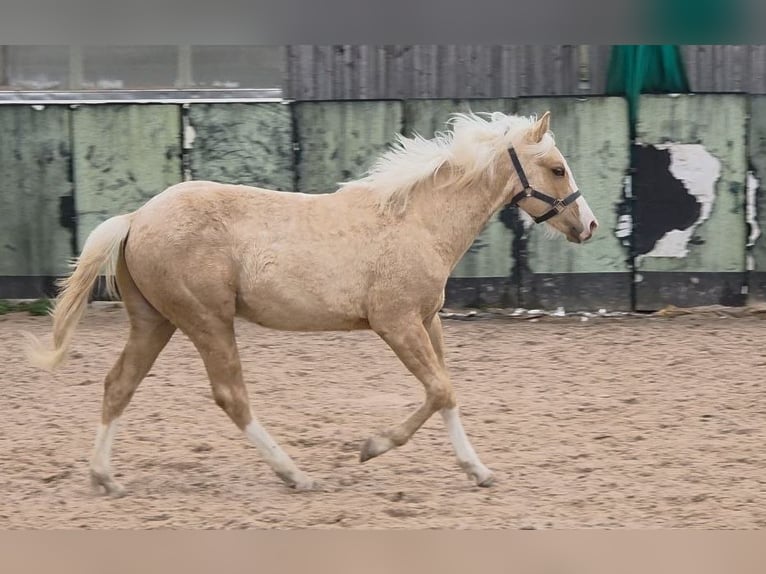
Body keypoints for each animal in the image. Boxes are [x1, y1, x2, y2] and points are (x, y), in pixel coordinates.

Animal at [24, 110, 598, 496]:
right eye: (556, 168)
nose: (589, 225)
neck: (416, 222)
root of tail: (137, 217)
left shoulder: (427, 321)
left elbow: (448, 393)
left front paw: (478, 471)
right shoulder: (395, 322)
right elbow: (438, 390)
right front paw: (371, 447)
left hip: (156, 322)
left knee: (119, 385)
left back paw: (105, 478)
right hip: (207, 320)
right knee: (231, 395)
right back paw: (296, 474)